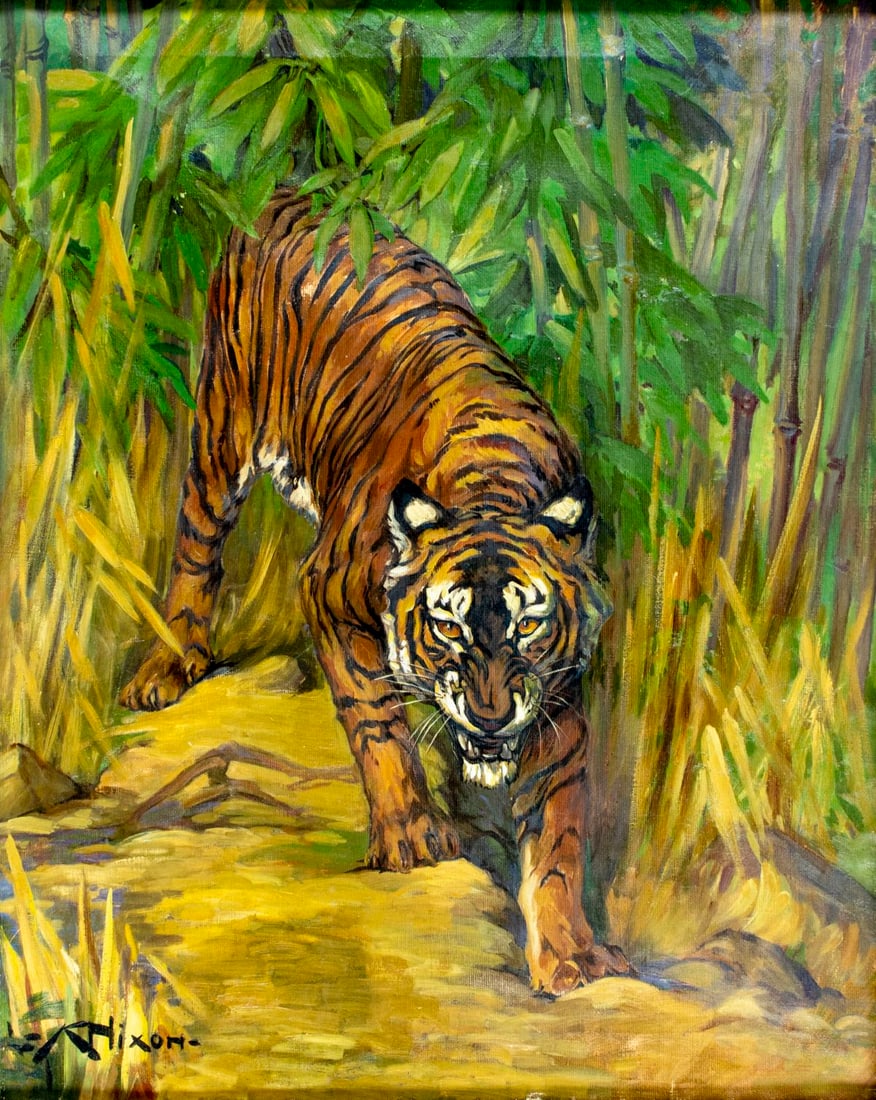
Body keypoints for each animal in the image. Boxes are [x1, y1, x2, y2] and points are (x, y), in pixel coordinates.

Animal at [120, 187, 632, 997]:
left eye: (529, 626)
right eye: (448, 627)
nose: (490, 719)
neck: (493, 488)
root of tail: (291, 185)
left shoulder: (555, 699)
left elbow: (558, 836)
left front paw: (571, 955)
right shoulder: (326, 591)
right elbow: (378, 723)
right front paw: (413, 836)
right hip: (222, 430)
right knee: (195, 548)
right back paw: (168, 669)